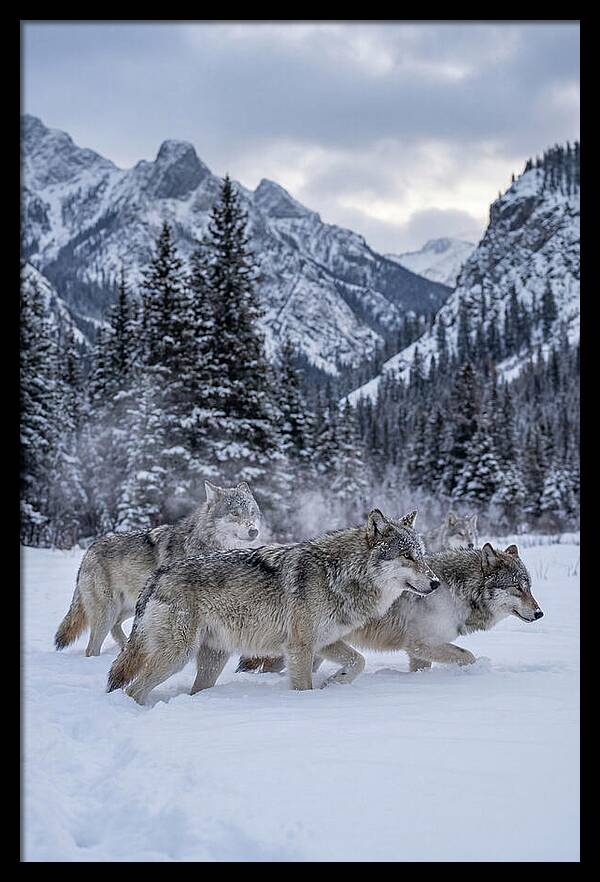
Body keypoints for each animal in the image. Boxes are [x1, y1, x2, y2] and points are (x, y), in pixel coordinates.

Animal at [54, 481, 262, 657]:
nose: (254, 531)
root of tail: (89, 550)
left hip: (131, 607)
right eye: (235, 513)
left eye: (252, 512)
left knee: (116, 628)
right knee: (92, 648)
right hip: (108, 612)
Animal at [106, 509, 441, 704]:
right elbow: (304, 686)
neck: (340, 573)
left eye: (422, 554)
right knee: (132, 689)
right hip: (176, 656)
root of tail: (157, 576)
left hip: (213, 659)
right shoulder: (300, 647)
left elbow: (357, 661)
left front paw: (334, 682)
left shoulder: (324, 642)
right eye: (407, 556)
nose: (436, 582)